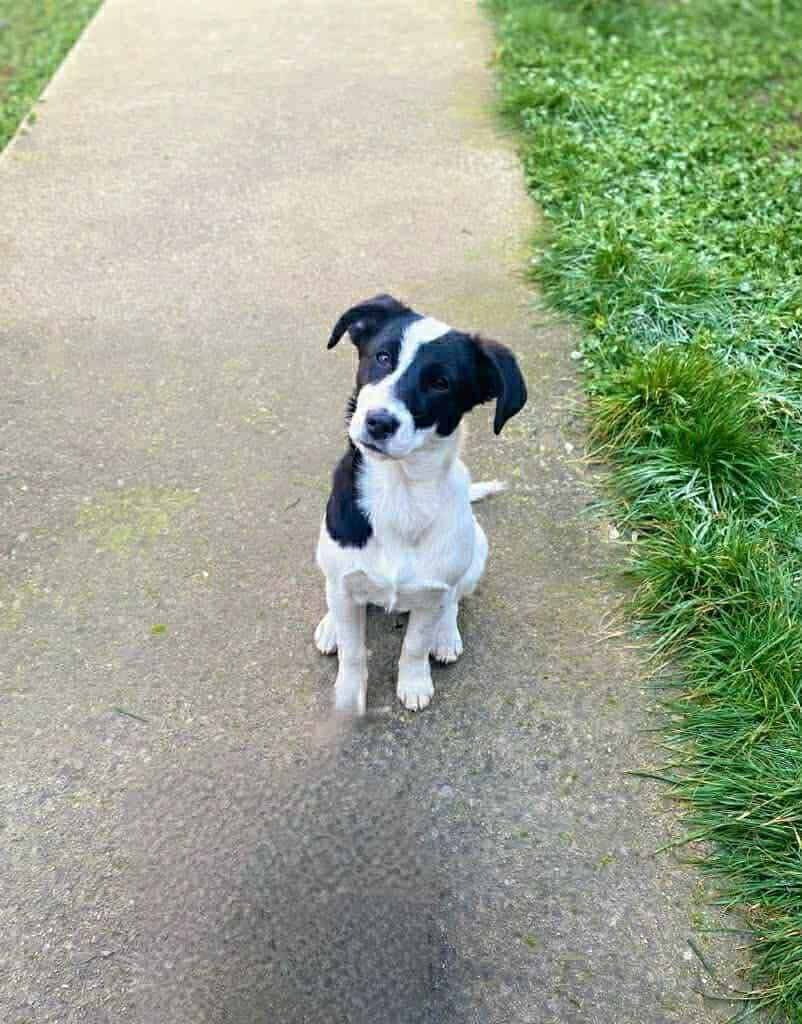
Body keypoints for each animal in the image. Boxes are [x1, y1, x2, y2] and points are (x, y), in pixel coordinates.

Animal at [315, 294, 527, 713]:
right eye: (382, 357)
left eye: (440, 383)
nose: (379, 422)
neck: (401, 492)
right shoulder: (345, 580)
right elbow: (353, 651)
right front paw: (349, 695)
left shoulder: (430, 593)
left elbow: (414, 645)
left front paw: (414, 682)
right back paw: (331, 625)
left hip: (477, 552)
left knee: (455, 599)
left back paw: (446, 635)